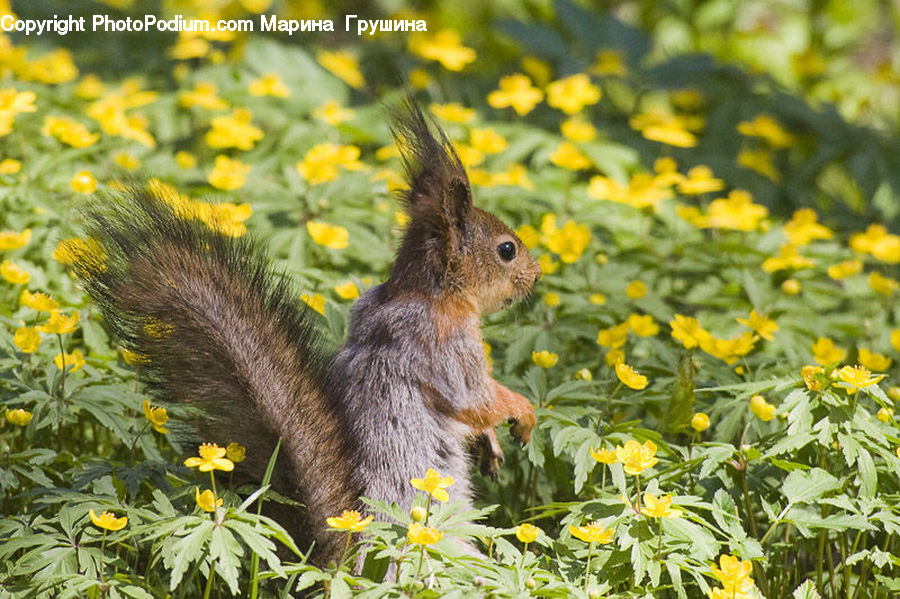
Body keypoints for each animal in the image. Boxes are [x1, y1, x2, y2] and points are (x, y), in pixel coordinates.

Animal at [70, 98, 541, 565]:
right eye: (506, 249)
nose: (536, 275)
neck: (428, 290)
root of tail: (343, 559)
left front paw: (492, 443)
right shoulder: (444, 341)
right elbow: (473, 398)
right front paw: (522, 411)